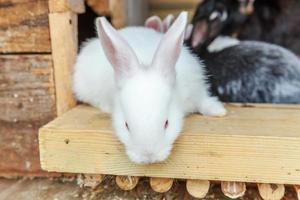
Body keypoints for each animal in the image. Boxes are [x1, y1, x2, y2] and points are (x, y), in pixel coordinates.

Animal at [74, 12, 226, 164]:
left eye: (166, 123)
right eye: (126, 125)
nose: (149, 156)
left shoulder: (196, 89)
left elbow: (204, 101)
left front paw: (219, 111)